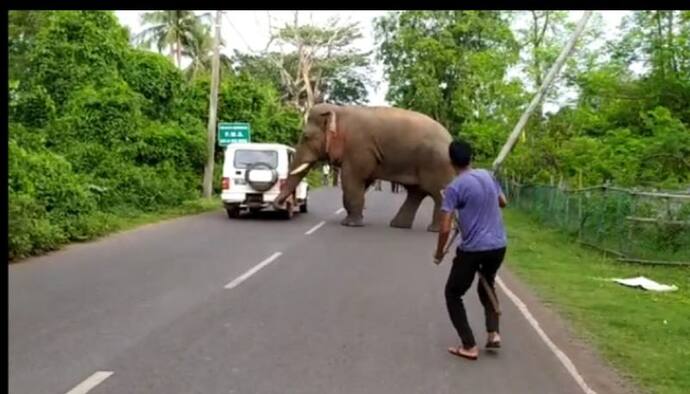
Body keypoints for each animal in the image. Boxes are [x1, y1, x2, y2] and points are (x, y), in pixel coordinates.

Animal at [272, 103, 454, 232]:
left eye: (306, 137)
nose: (279, 204)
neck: (339, 110)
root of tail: (450, 138)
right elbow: (362, 184)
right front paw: (351, 219)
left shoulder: (358, 149)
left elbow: (352, 180)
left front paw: (350, 224)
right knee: (416, 193)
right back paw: (398, 226)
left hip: (436, 164)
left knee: (436, 194)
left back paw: (434, 230)